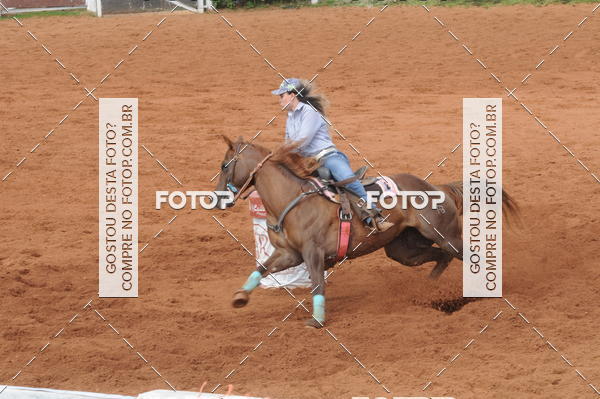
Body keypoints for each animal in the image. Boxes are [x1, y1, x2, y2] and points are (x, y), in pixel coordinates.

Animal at [216, 136, 520, 330]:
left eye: (223, 165)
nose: (218, 198)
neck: (292, 200)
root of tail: (439, 189)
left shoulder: (313, 254)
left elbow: (318, 285)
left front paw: (317, 320)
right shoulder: (289, 254)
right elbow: (261, 268)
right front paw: (240, 297)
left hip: (445, 236)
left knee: (467, 256)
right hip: (404, 249)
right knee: (441, 257)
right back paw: (430, 291)